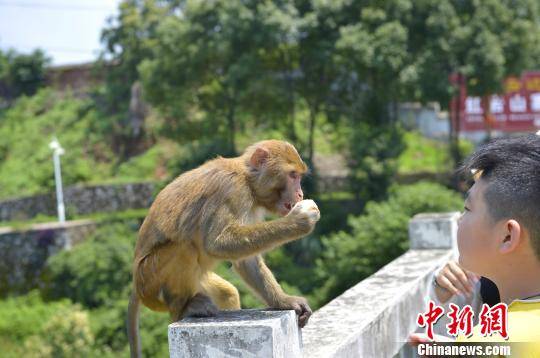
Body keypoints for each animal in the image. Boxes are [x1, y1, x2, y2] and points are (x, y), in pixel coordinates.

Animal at [126, 140, 320, 358]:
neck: (248, 180)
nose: (300, 193)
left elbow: (246, 261)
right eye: (292, 175)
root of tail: (136, 284)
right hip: (151, 280)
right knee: (184, 248)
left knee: (228, 292)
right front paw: (299, 221)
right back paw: (183, 310)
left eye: (299, 176)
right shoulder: (232, 190)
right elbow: (217, 243)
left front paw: (285, 301)